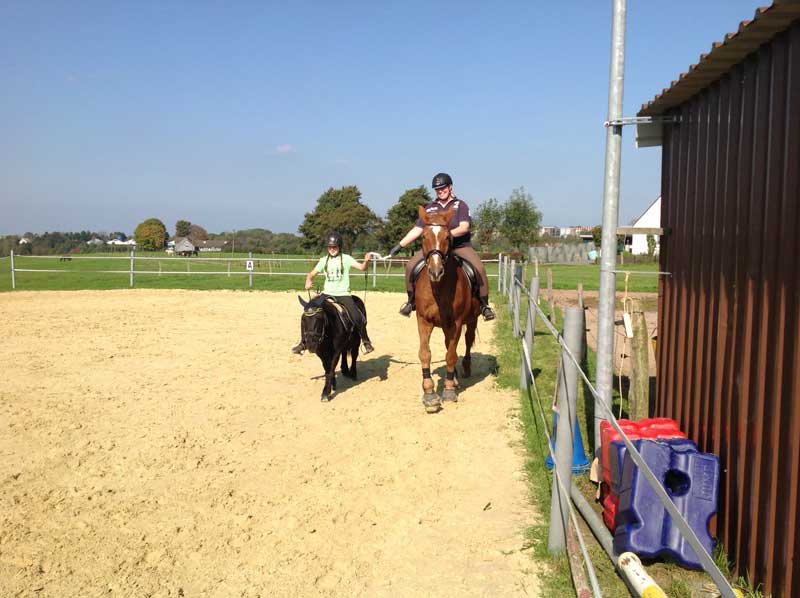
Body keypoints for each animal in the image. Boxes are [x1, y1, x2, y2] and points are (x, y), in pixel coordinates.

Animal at [414, 205, 481, 413]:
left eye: (447, 237)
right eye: (423, 236)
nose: (435, 271)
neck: (438, 287)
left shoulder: (456, 323)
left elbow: (451, 355)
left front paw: (449, 390)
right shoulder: (423, 321)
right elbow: (425, 353)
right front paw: (429, 394)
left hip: (471, 319)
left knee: (467, 341)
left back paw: (465, 369)